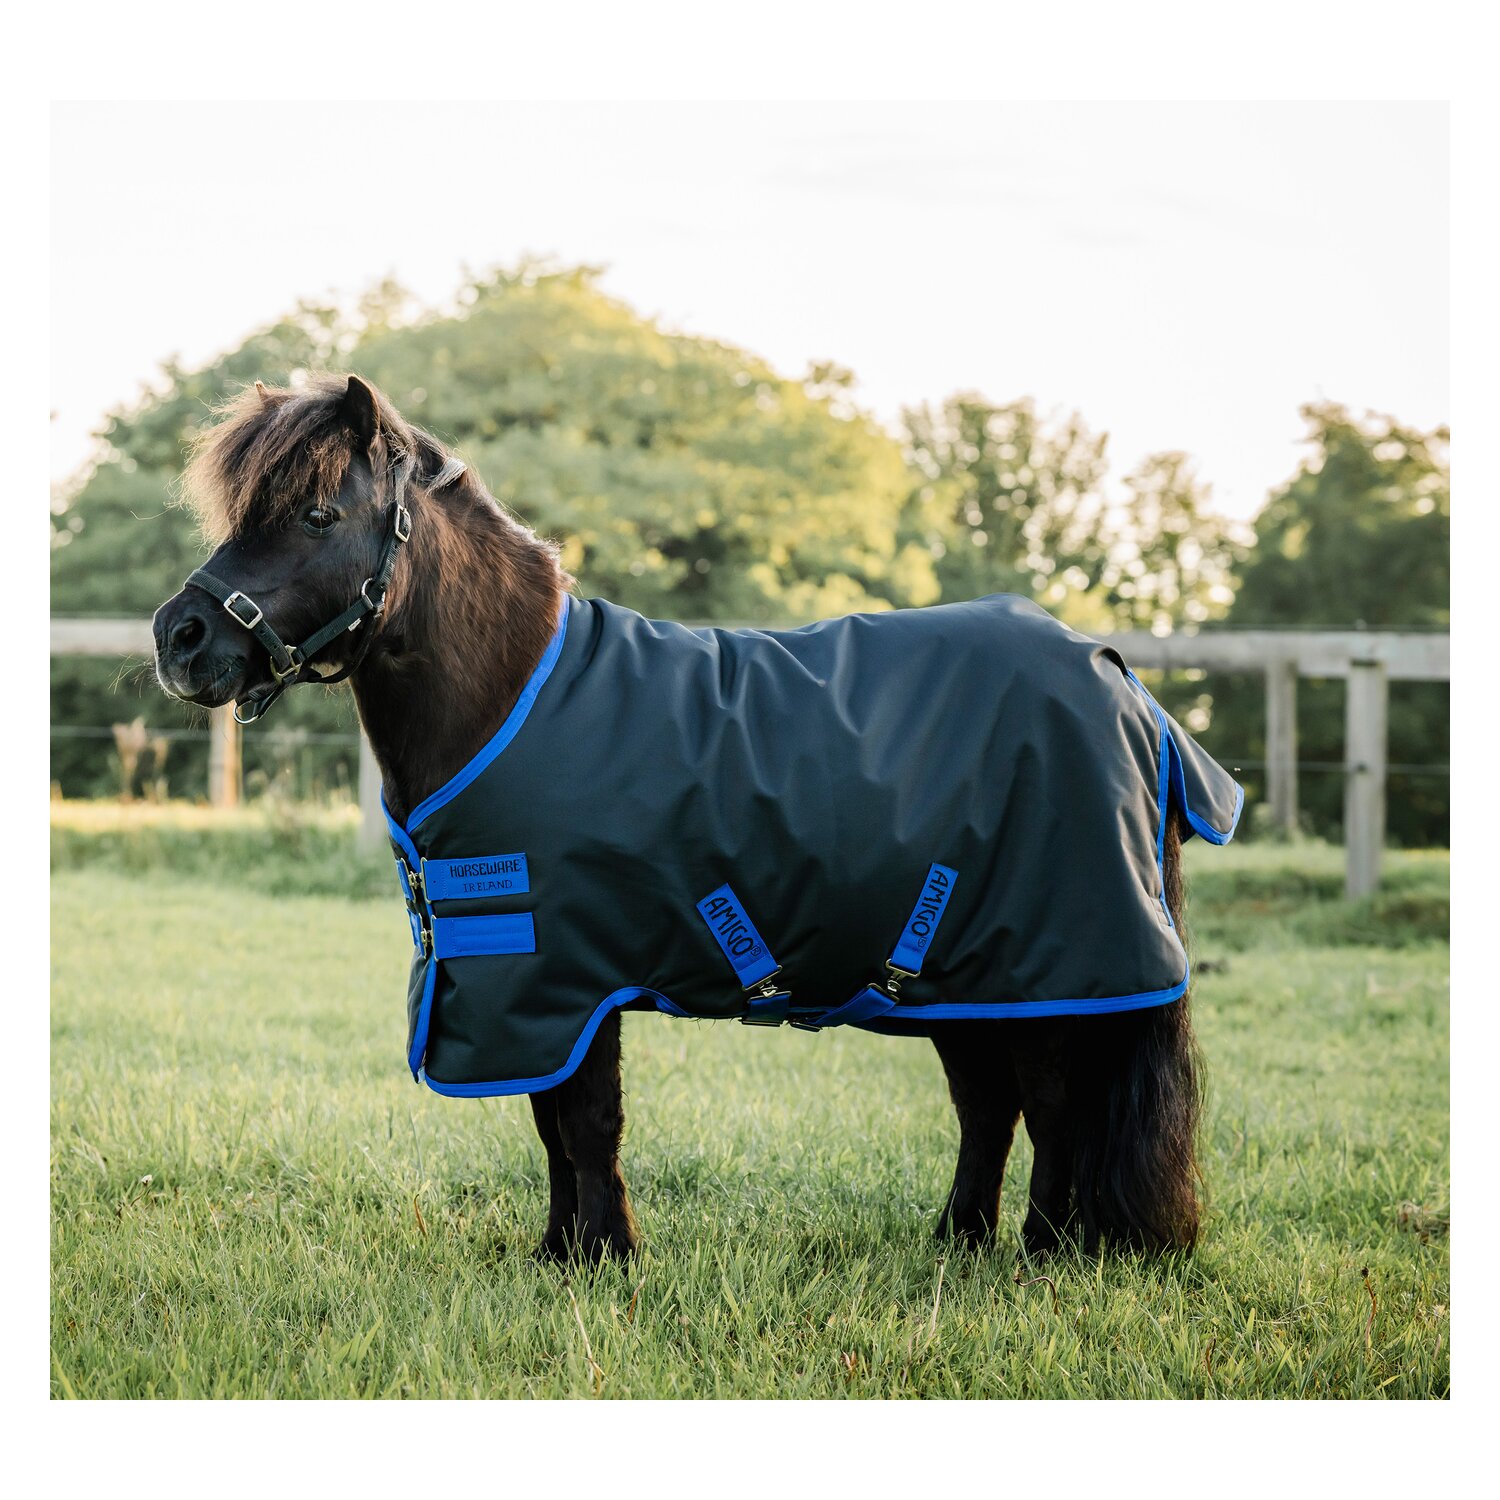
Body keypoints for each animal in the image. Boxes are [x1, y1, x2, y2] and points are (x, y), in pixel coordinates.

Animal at [152, 372, 1215, 1263]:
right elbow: (552, 1124)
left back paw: (1044, 1253)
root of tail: (1123, 683)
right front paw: (559, 1253)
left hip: (1047, 971)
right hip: (964, 976)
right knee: (990, 1107)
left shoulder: (566, 976)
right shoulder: (535, 988)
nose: (180, 638)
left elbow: (586, 1123)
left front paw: (606, 1255)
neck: (514, 698)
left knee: (1053, 1108)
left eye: (318, 512)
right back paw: (959, 1243)